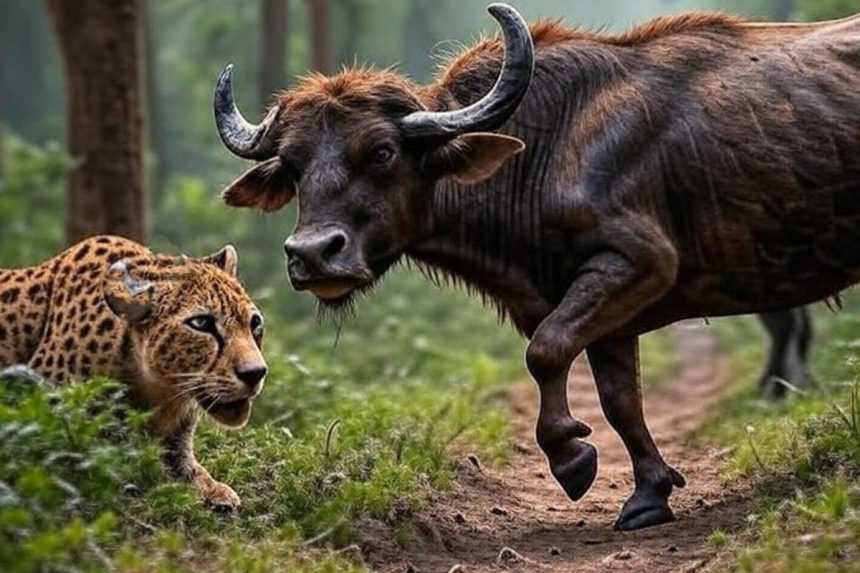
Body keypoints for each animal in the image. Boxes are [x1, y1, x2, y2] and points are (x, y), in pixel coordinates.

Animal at [0, 235, 268, 510]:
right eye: (201, 323)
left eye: (255, 323)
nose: (256, 373)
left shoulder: (176, 443)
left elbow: (188, 469)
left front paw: (216, 491)